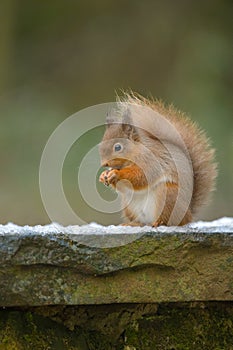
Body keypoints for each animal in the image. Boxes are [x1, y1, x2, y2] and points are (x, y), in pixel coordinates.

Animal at [98, 91, 217, 226]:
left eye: (118, 147)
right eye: (100, 145)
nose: (105, 164)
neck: (137, 151)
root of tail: (188, 214)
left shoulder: (151, 161)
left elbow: (141, 177)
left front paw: (116, 174)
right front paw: (103, 176)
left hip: (168, 195)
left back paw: (159, 222)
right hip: (128, 205)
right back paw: (132, 223)